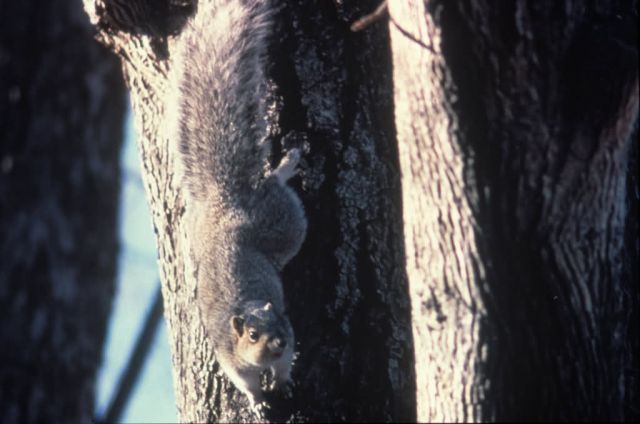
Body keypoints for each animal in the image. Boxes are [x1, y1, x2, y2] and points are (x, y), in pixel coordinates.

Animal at [168, 0, 307, 408]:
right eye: (252, 336)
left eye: (277, 323)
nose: (278, 341)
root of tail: (223, 200)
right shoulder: (229, 358)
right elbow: (245, 382)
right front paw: (257, 400)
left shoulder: (290, 334)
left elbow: (285, 364)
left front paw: (283, 380)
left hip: (284, 224)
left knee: (275, 186)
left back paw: (286, 165)